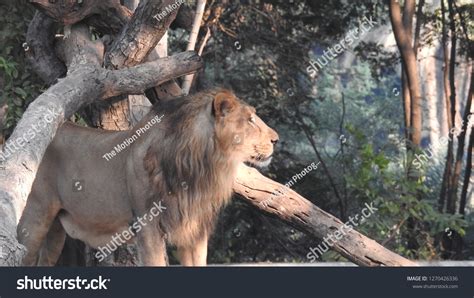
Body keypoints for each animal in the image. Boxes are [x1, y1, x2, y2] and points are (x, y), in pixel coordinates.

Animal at [17, 88, 278, 266]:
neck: (203, 166)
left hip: (56, 231)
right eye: (251, 120)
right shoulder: (147, 225)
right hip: (33, 220)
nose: (276, 139)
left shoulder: (195, 228)